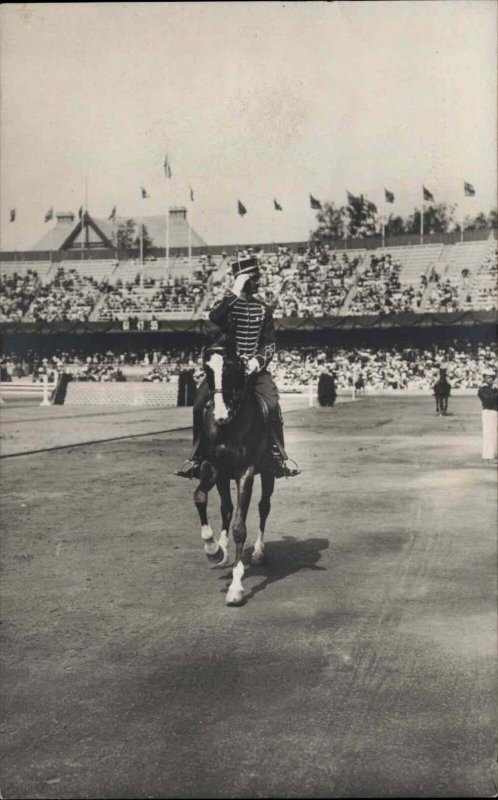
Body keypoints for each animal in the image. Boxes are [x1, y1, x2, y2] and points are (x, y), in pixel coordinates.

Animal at [192, 344, 276, 608]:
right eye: (207, 369)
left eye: (231, 368)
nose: (220, 415)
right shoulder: (212, 466)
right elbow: (200, 497)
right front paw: (213, 549)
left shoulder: (245, 472)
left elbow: (240, 527)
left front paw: (236, 587)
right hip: (221, 477)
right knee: (226, 508)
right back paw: (222, 549)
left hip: (268, 473)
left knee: (264, 507)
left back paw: (258, 551)